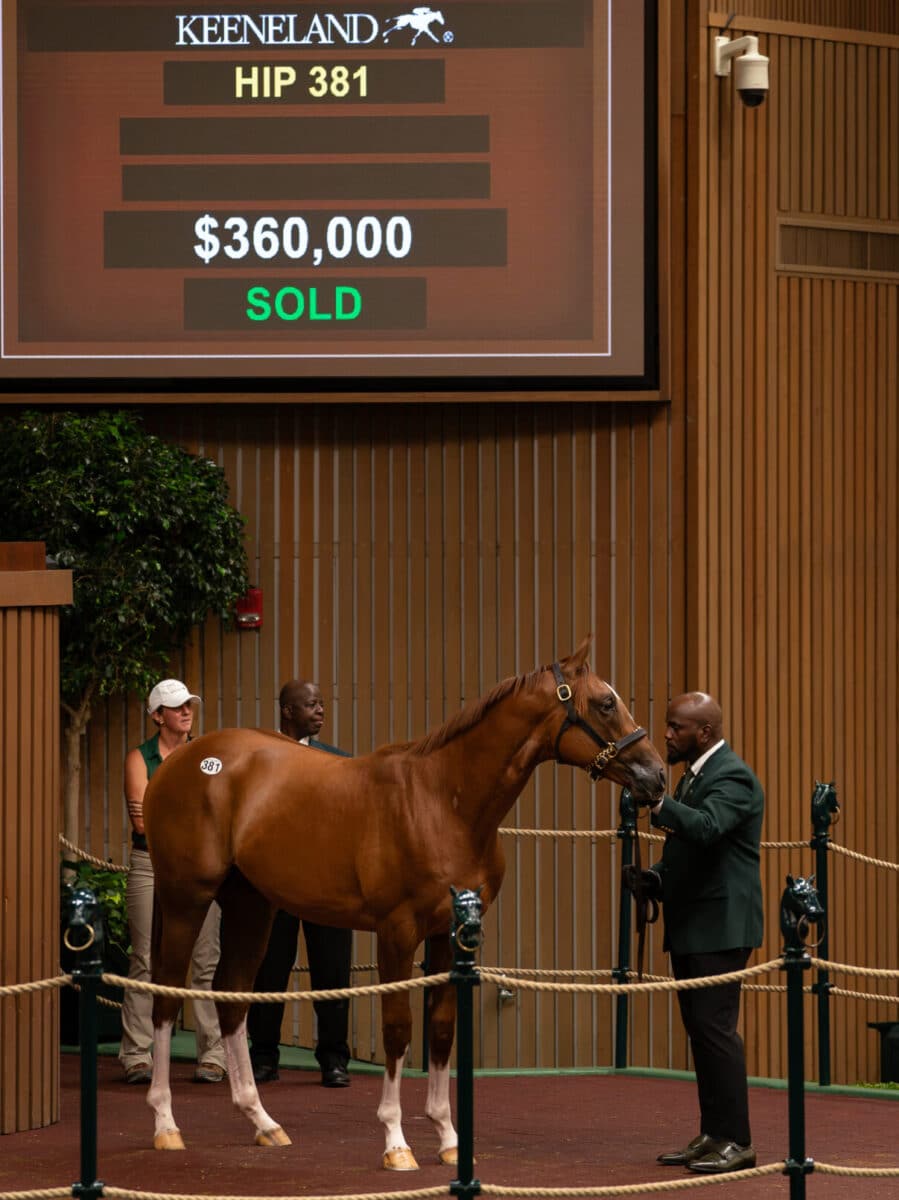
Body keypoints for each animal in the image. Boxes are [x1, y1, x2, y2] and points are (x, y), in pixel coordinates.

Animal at [144, 643, 662, 1166]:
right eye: (605, 703)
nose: (656, 776)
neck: (443, 802)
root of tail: (181, 759)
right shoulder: (398, 931)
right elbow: (398, 1028)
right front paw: (396, 1141)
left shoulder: (452, 934)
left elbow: (441, 1028)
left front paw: (449, 1138)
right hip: (187, 898)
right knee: (165, 996)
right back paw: (165, 1124)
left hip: (251, 905)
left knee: (232, 997)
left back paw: (263, 1122)